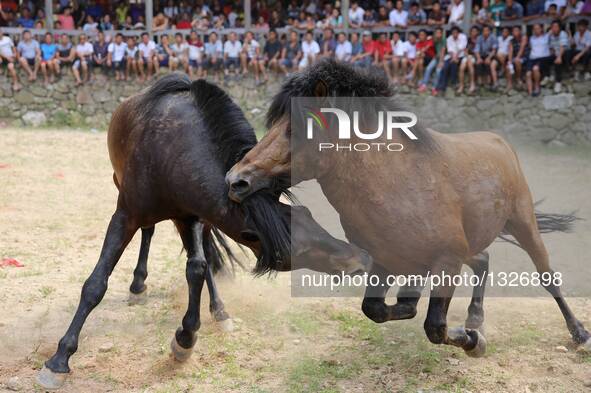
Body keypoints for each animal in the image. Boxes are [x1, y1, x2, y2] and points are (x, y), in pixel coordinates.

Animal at [37, 73, 370, 388]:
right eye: (296, 249)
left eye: (310, 215)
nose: (359, 258)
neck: (170, 151)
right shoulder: (124, 215)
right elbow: (96, 284)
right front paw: (59, 360)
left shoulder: (193, 216)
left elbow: (197, 268)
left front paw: (185, 338)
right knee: (149, 232)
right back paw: (138, 286)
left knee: (203, 257)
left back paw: (218, 311)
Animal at [227, 59, 591, 356]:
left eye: (296, 129)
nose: (235, 180)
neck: (396, 185)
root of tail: (500, 142)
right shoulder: (388, 261)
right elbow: (379, 309)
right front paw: (431, 313)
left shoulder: (446, 260)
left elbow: (434, 326)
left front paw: (474, 343)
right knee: (483, 259)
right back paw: (475, 318)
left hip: (524, 224)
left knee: (547, 277)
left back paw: (578, 332)